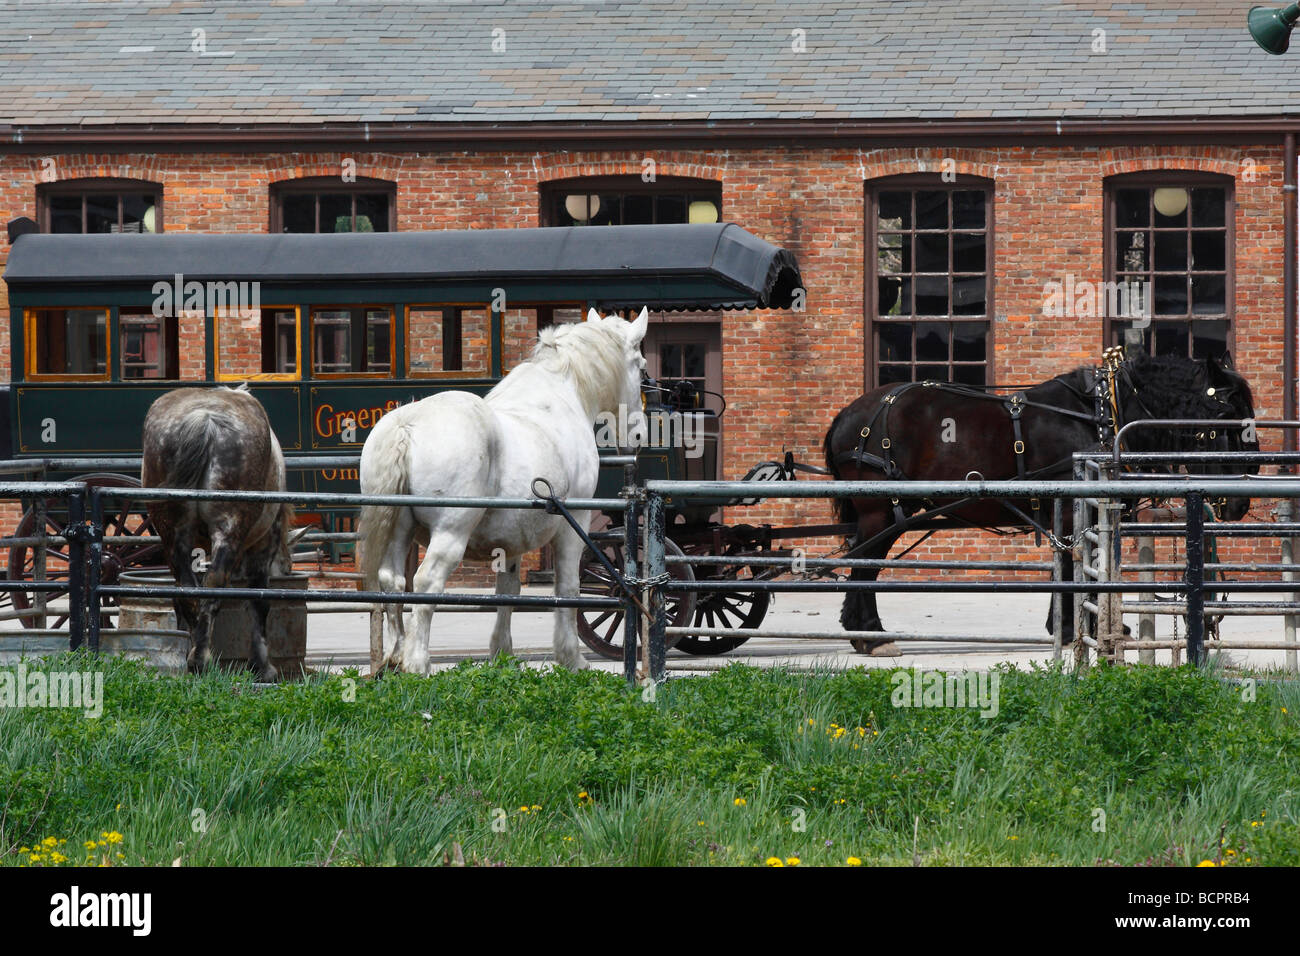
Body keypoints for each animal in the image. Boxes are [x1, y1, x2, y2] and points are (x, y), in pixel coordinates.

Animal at [358, 306, 647, 671]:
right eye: (642, 366)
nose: (639, 437)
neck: (560, 395)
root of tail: (406, 426)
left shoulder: (511, 541)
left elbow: (508, 590)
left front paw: (502, 654)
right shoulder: (573, 524)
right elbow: (569, 586)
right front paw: (572, 658)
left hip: (400, 530)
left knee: (392, 582)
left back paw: (395, 658)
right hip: (450, 533)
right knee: (426, 583)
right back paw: (417, 662)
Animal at [821, 353, 1258, 658]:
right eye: (1228, 414)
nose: (1241, 501)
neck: (1100, 418)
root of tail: (849, 414)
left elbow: (1090, 563)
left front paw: (1093, 626)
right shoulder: (1065, 509)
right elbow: (1069, 566)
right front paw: (1065, 628)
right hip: (880, 510)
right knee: (866, 565)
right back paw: (871, 636)